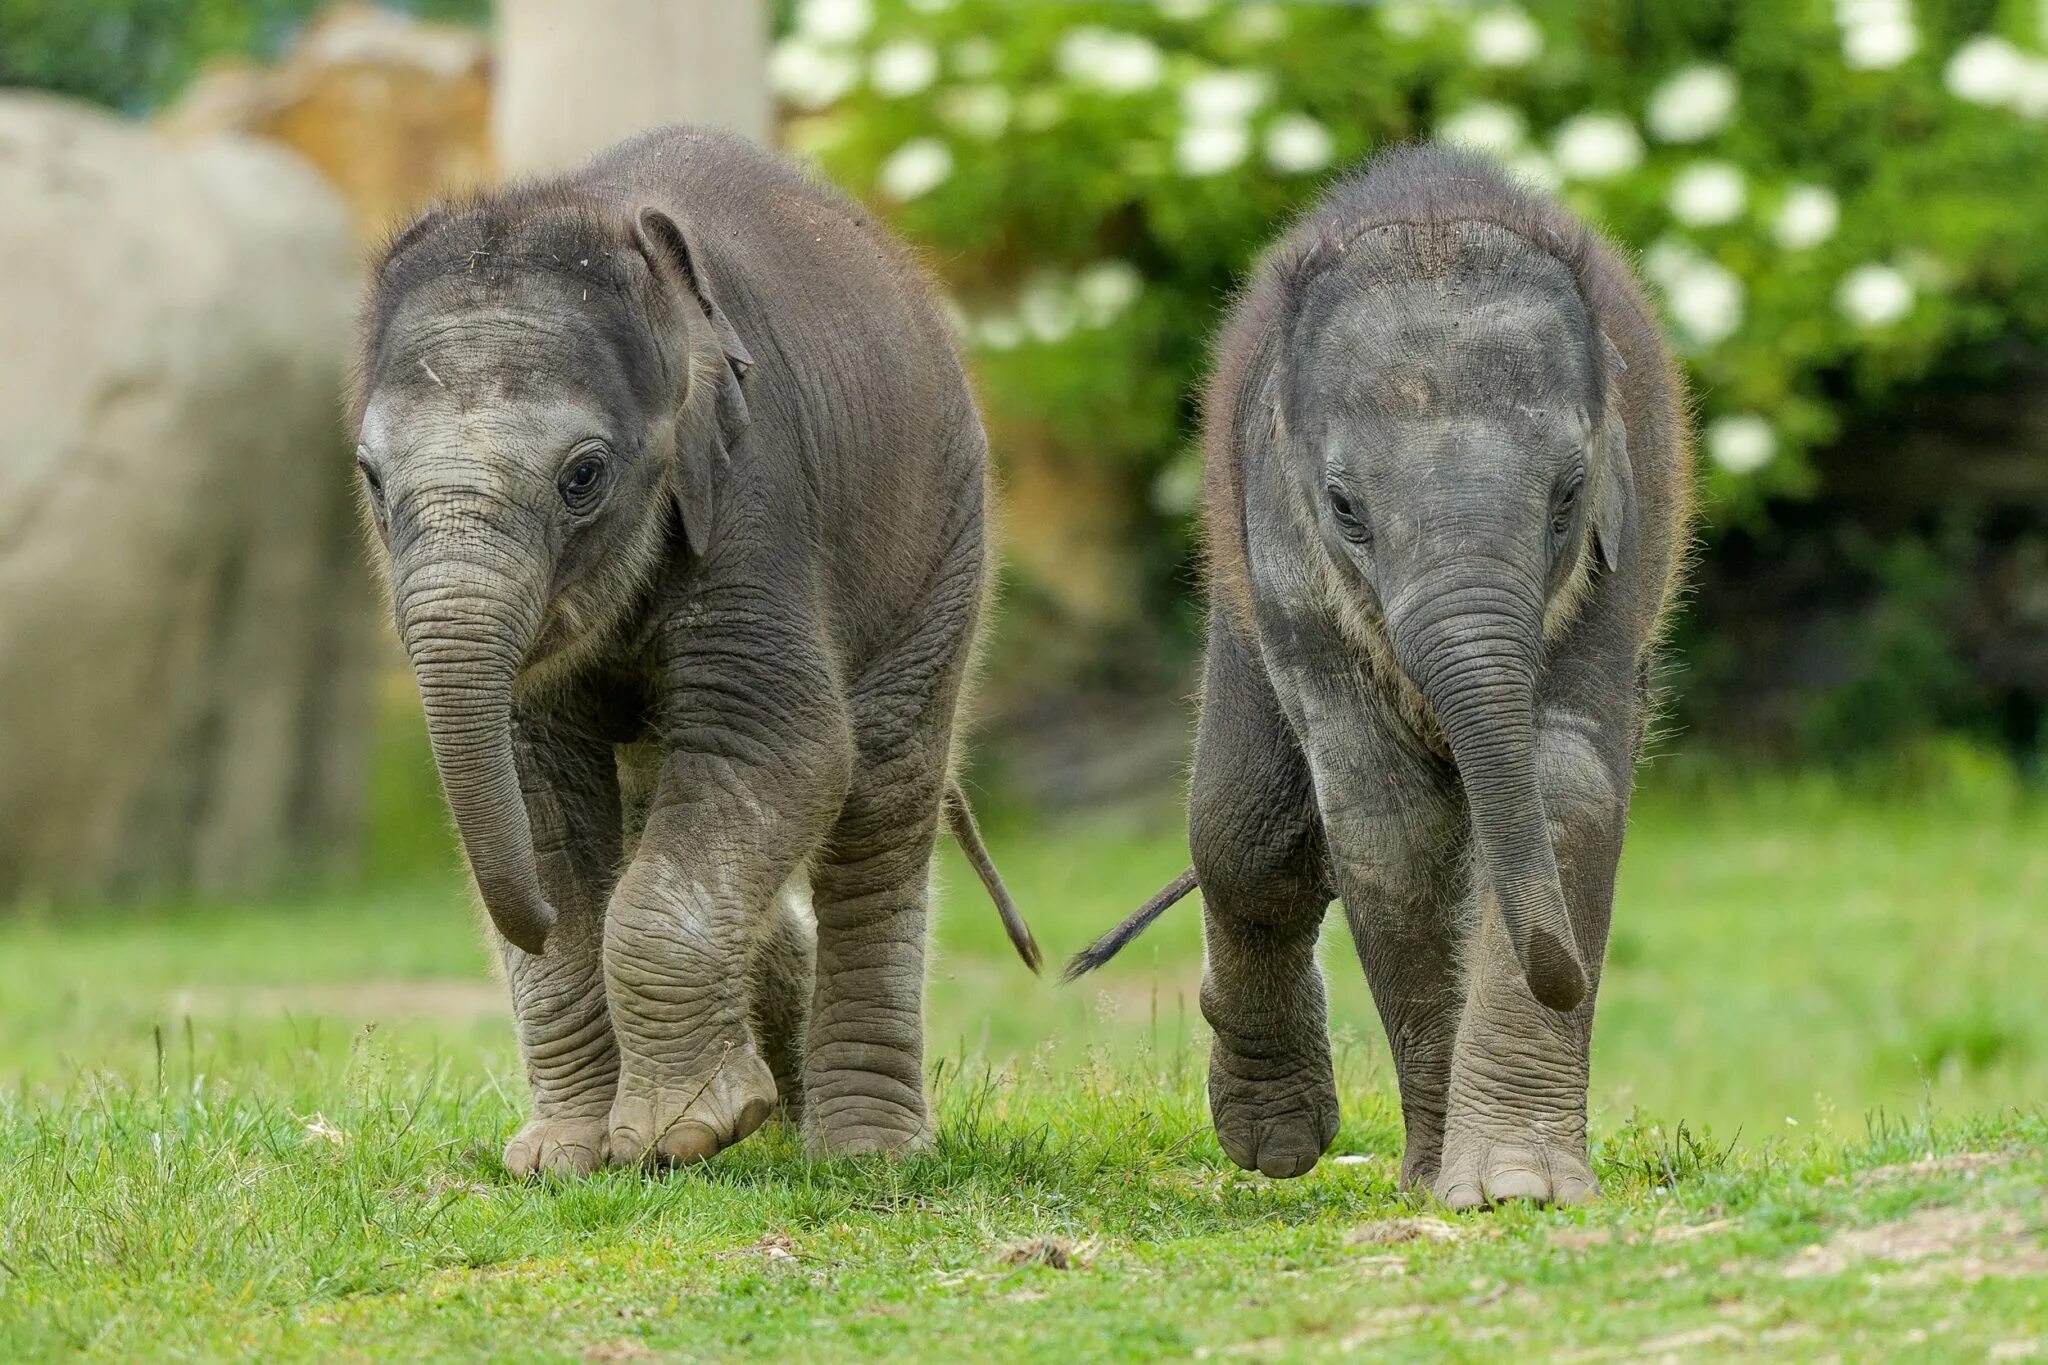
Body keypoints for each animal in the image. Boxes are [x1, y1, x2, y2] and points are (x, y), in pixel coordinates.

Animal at [346, 122, 1040, 1178]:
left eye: (584, 476)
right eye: (372, 477)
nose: (532, 918)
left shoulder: (755, 494)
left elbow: (783, 743)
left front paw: (683, 1133)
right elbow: (541, 780)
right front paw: (562, 1157)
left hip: (943, 547)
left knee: (880, 794)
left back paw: (864, 1153)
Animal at [1064, 147, 1687, 1203]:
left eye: (1569, 495)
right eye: (1346, 507)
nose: (1564, 970)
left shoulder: (1626, 554)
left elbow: (1568, 791)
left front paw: (1515, 1186)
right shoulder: (1288, 565)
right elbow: (1390, 833)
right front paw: (1442, 1183)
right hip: (1238, 602)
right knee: (1247, 835)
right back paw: (1274, 1142)